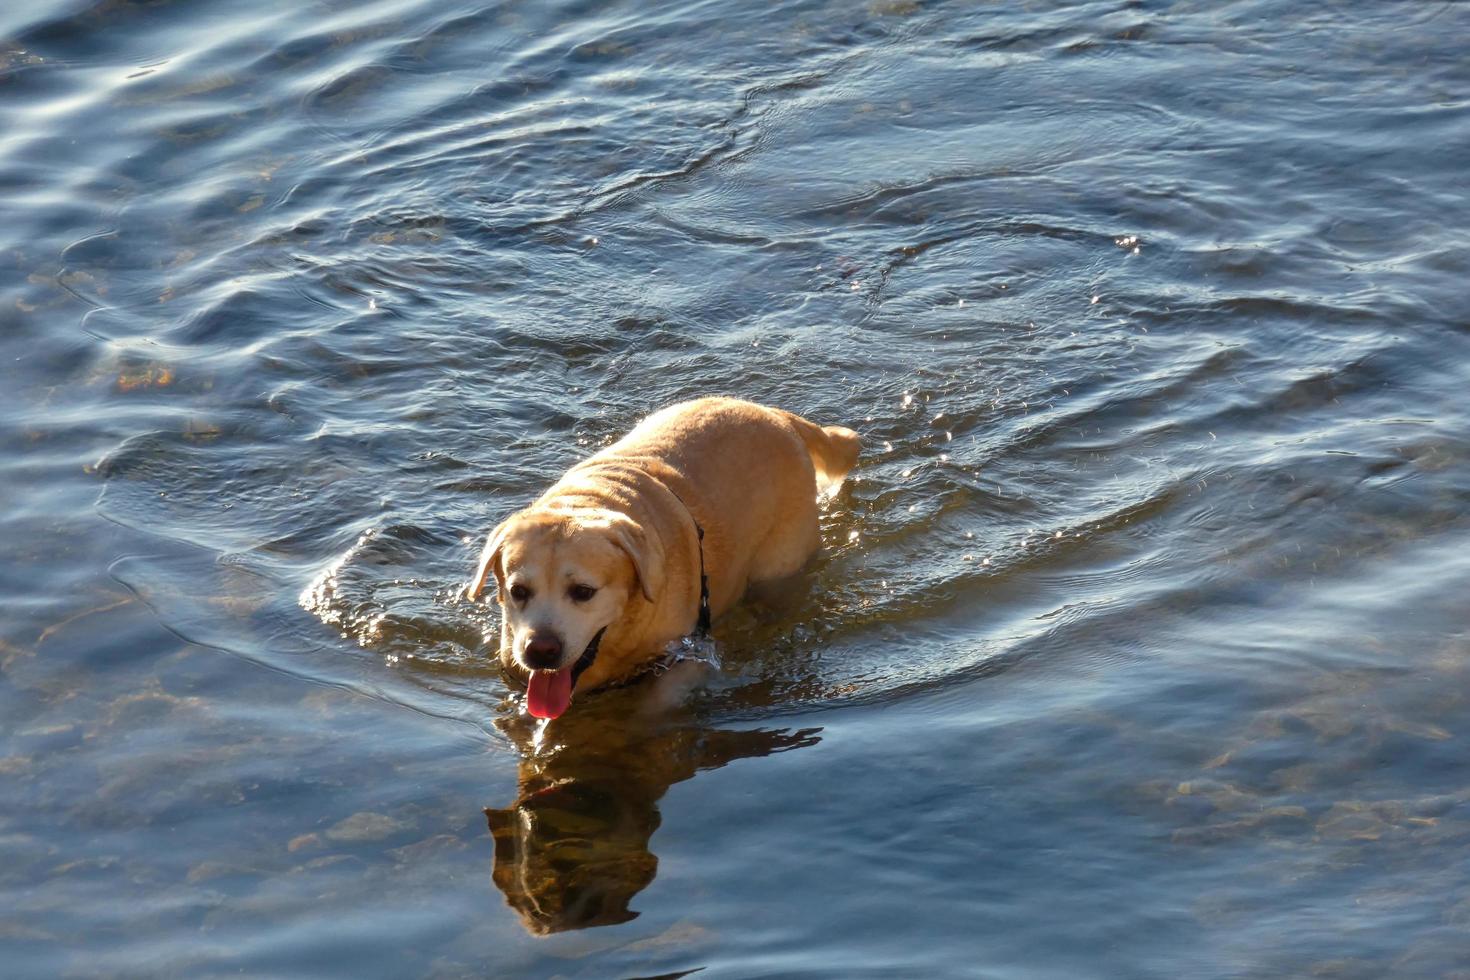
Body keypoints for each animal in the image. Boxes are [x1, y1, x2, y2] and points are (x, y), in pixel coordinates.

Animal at [467, 393, 858, 717]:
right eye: (518, 592)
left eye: (583, 592)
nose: (540, 651)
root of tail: (777, 415)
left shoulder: (691, 653)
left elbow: (654, 705)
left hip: (780, 565)